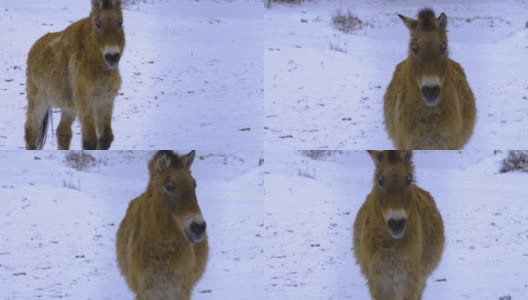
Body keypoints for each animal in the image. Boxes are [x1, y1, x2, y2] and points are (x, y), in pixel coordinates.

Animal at [24, 0, 125, 150]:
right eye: (97, 23)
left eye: (120, 22)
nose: (112, 56)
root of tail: (34, 47)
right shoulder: (85, 101)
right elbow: (90, 141)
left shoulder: (105, 99)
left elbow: (106, 138)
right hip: (38, 99)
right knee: (31, 130)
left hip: (68, 107)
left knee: (62, 133)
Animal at [352, 150, 444, 300]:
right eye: (380, 180)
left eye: (408, 180)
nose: (396, 223)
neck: (391, 248)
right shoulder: (379, 282)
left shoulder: (409, 282)